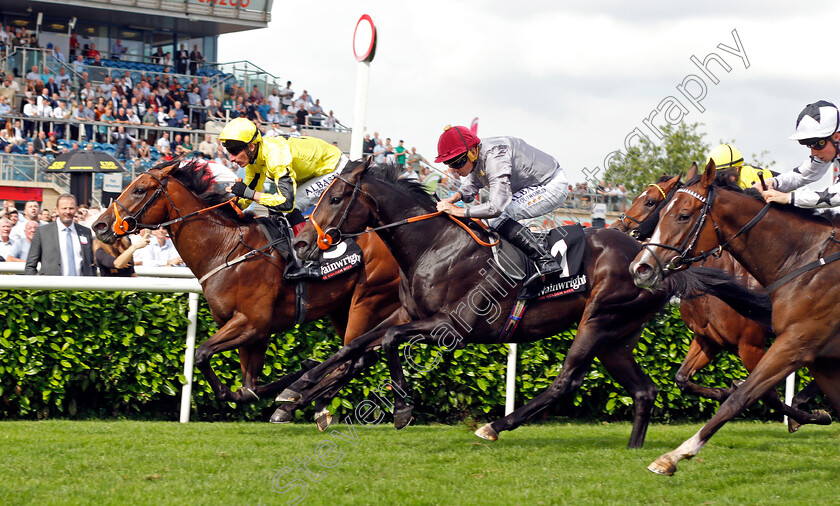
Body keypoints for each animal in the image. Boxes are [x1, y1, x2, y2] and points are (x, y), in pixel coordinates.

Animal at [95, 159, 404, 426]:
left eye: (139, 189)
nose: (99, 225)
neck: (225, 248)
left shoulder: (252, 323)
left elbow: (202, 354)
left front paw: (297, 380)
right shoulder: (252, 332)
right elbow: (248, 389)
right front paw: (302, 371)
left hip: (368, 299)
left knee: (355, 355)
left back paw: (301, 402)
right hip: (341, 309)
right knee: (360, 355)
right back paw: (311, 403)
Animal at [278, 160, 772, 448]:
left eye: (336, 197)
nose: (301, 243)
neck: (433, 245)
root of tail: (652, 260)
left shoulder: (450, 327)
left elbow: (385, 343)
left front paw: (400, 410)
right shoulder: (409, 314)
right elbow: (354, 347)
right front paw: (294, 392)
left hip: (598, 319)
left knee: (567, 380)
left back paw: (496, 426)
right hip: (617, 336)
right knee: (644, 390)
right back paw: (635, 451)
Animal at [632, 161, 840, 474]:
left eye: (681, 215)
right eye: (661, 207)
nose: (640, 268)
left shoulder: (765, 345)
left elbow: (758, 395)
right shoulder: (708, 339)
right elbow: (682, 378)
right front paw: (723, 390)